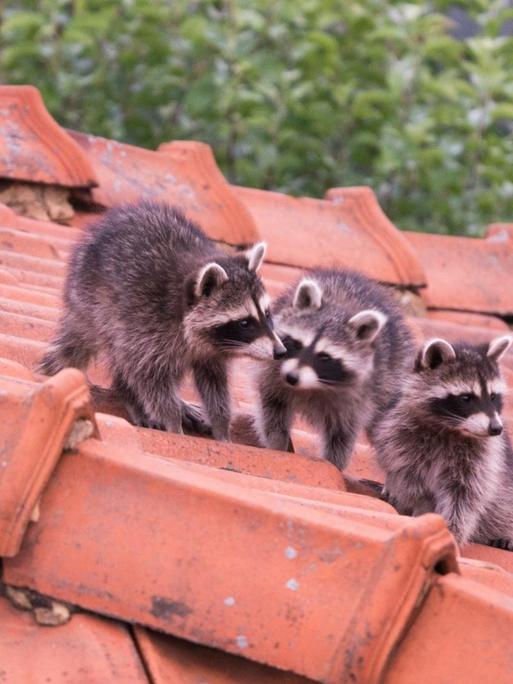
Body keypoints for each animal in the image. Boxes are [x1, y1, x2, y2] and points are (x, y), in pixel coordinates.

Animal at [38, 200, 286, 440]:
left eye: (266, 314)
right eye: (245, 323)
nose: (281, 351)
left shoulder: (211, 352)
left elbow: (215, 384)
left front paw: (222, 427)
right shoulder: (147, 323)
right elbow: (149, 377)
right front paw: (172, 422)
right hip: (96, 306)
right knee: (122, 357)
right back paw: (130, 396)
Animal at [254, 268, 414, 470]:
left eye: (324, 357)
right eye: (297, 344)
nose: (292, 377)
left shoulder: (359, 397)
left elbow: (342, 435)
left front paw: (333, 464)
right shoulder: (273, 372)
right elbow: (273, 410)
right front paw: (277, 444)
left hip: (391, 378)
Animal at [374, 334, 512, 548]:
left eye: (492, 396)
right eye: (466, 397)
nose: (496, 429)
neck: (451, 429)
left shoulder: (482, 457)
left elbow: (466, 495)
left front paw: (453, 530)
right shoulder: (401, 436)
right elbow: (410, 480)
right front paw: (421, 509)